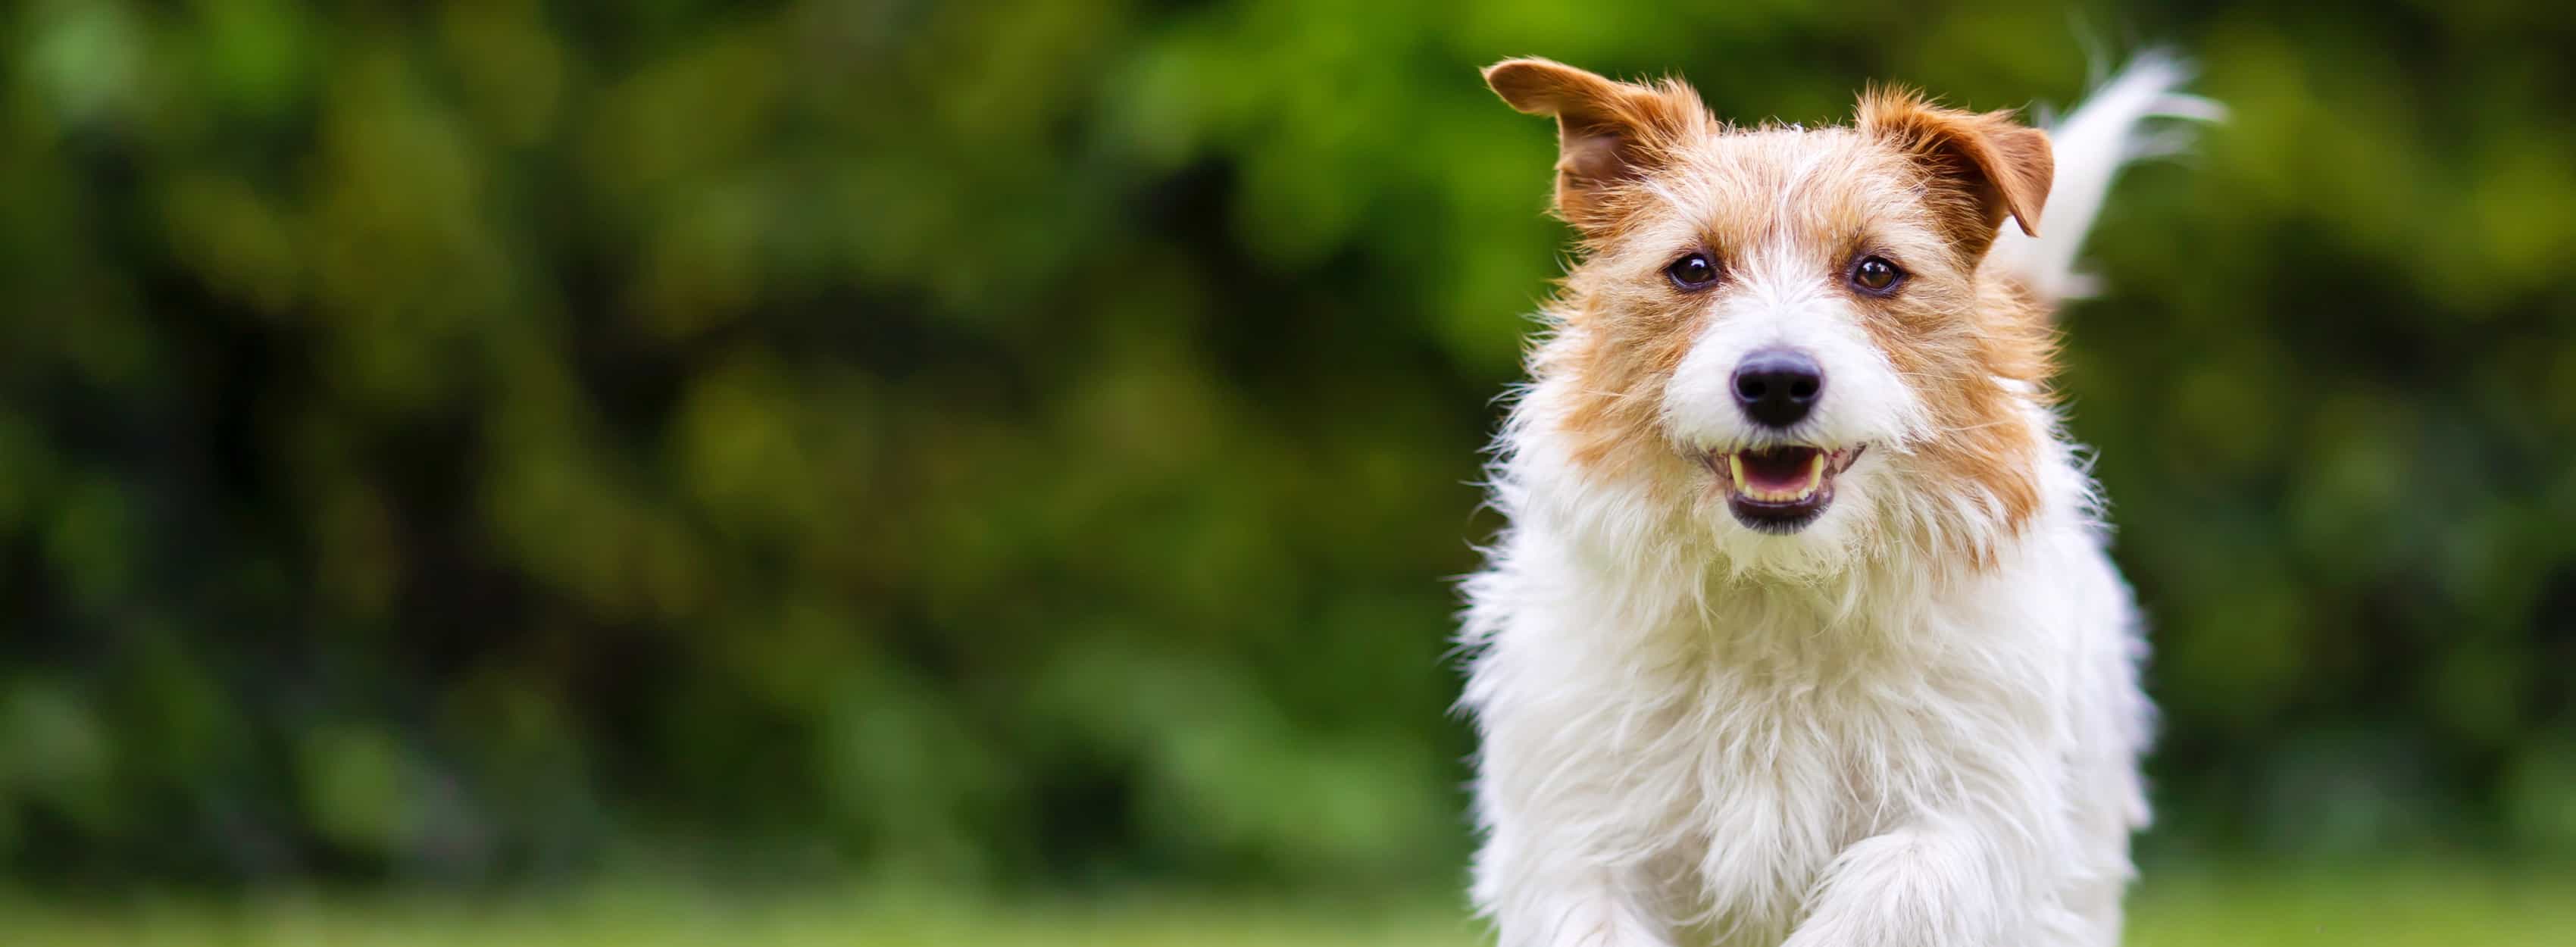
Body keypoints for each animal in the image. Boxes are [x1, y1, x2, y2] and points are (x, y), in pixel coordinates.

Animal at [1452, 55, 2215, 942]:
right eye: (1692, 268)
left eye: (1876, 271)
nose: (1777, 380)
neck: (1778, 592)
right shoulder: (1579, 849)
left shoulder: (1974, 816)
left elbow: (1890, 891)